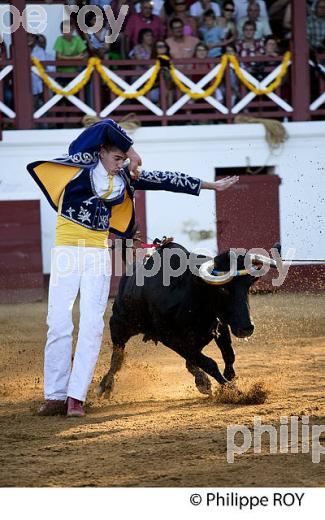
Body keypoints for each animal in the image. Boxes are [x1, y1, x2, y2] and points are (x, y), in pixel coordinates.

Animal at [97, 241, 276, 398]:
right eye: (223, 289)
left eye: (247, 286)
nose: (246, 328)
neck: (192, 293)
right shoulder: (172, 339)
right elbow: (210, 363)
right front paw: (234, 391)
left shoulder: (220, 325)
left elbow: (228, 355)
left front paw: (228, 379)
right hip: (118, 325)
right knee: (117, 357)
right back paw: (105, 386)